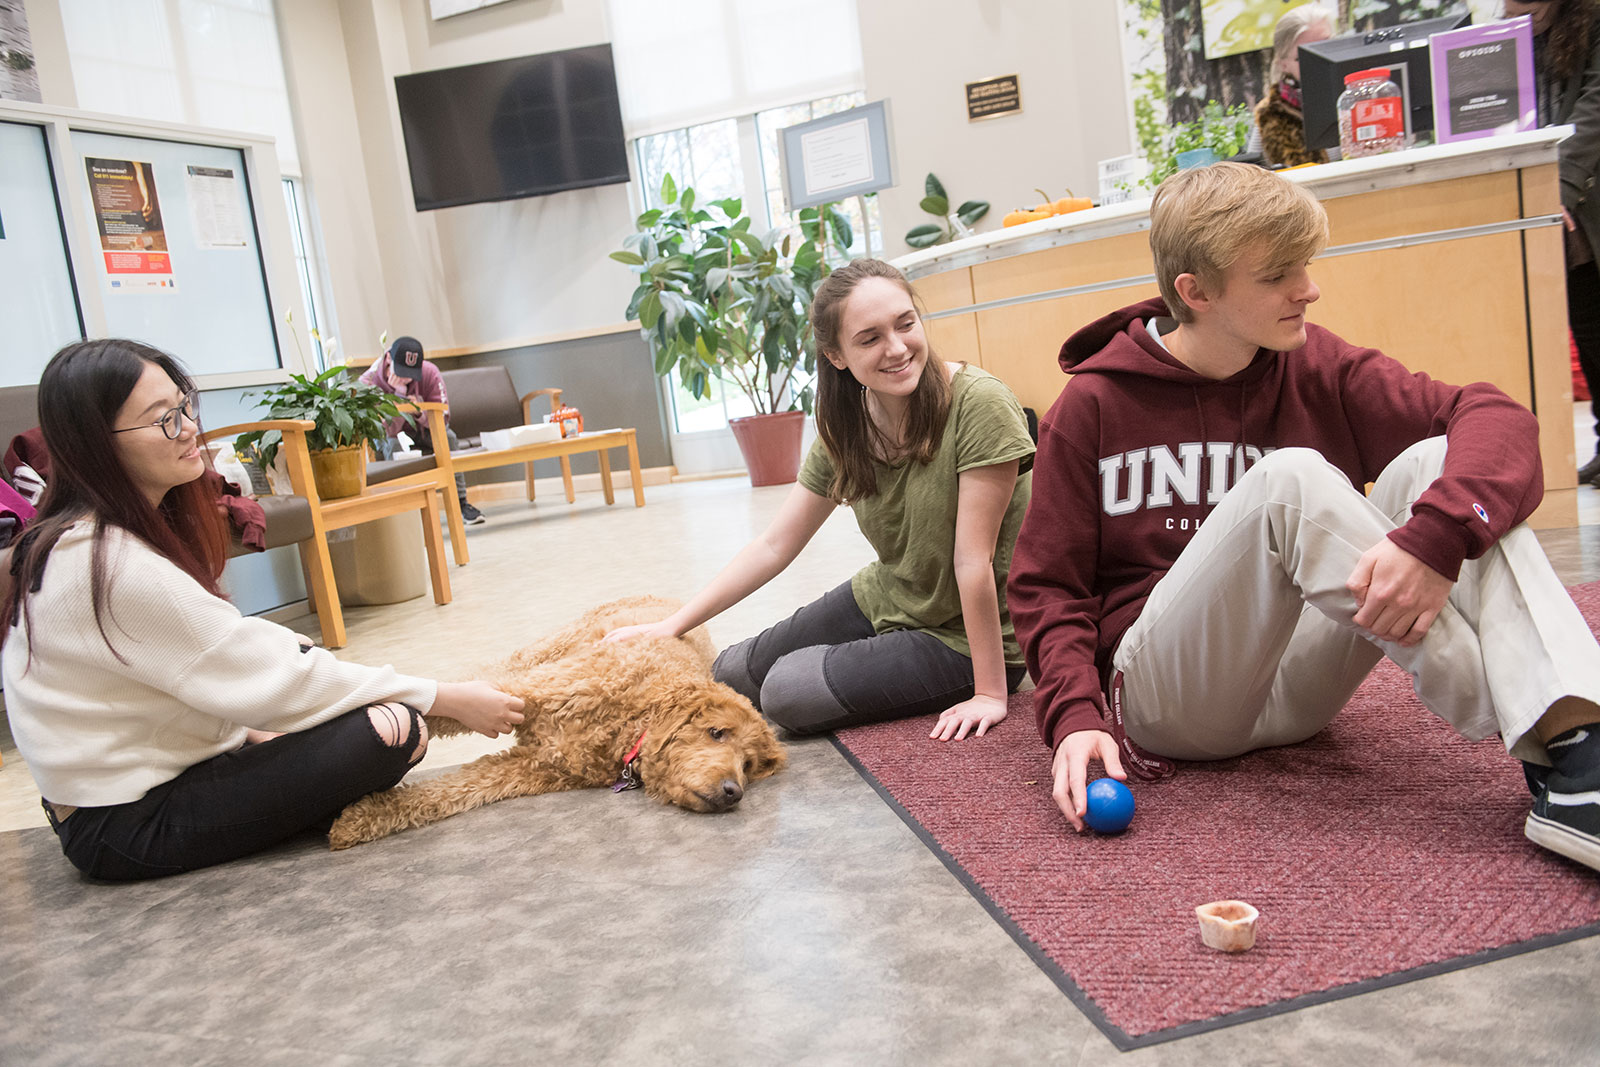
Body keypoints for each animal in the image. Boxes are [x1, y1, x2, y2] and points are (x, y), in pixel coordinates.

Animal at [329, 591, 787, 851]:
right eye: (716, 732)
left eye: (747, 764)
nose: (733, 792)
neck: (629, 718)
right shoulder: (519, 690)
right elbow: (435, 703)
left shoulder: (531, 768)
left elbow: (454, 790)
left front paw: (361, 819)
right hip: (539, 654)